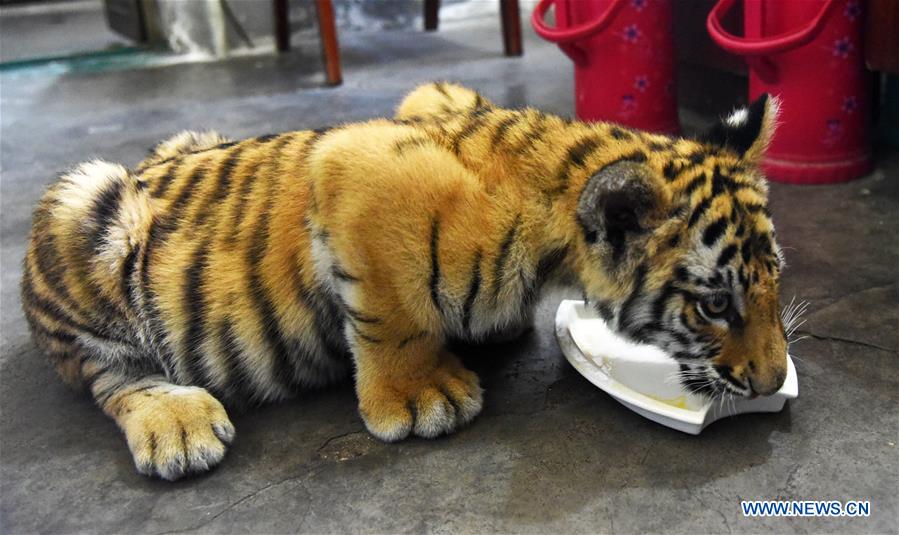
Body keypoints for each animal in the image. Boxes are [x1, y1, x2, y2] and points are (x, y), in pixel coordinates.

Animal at [21, 81, 788, 480]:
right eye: (716, 304)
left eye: (774, 281)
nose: (775, 380)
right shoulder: (357, 169)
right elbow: (395, 315)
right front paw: (421, 397)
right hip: (84, 208)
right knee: (108, 373)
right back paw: (175, 424)